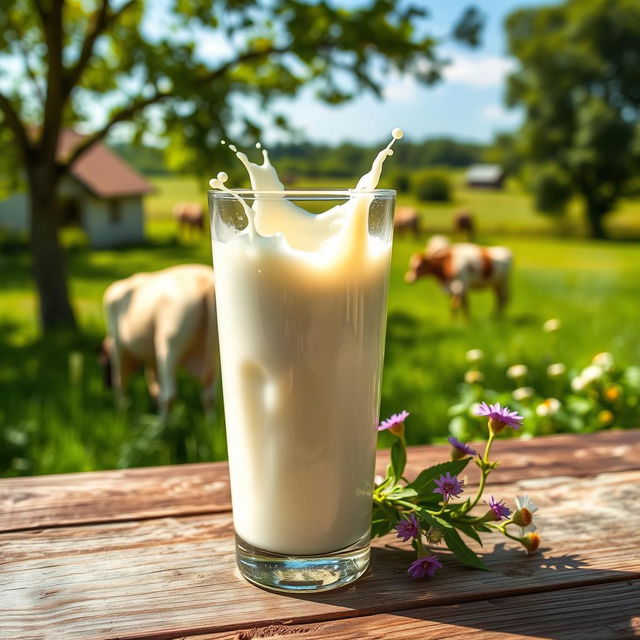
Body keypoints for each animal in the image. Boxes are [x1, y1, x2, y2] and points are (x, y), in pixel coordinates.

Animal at [101, 264, 219, 418]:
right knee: (208, 394)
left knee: (169, 394)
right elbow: (154, 383)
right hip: (212, 352)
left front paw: (122, 411)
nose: (105, 385)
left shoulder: (118, 344)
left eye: (102, 362)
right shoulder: (152, 357)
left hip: (168, 344)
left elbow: (121, 381)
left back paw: (159, 423)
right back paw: (210, 421)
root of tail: (206, 282)